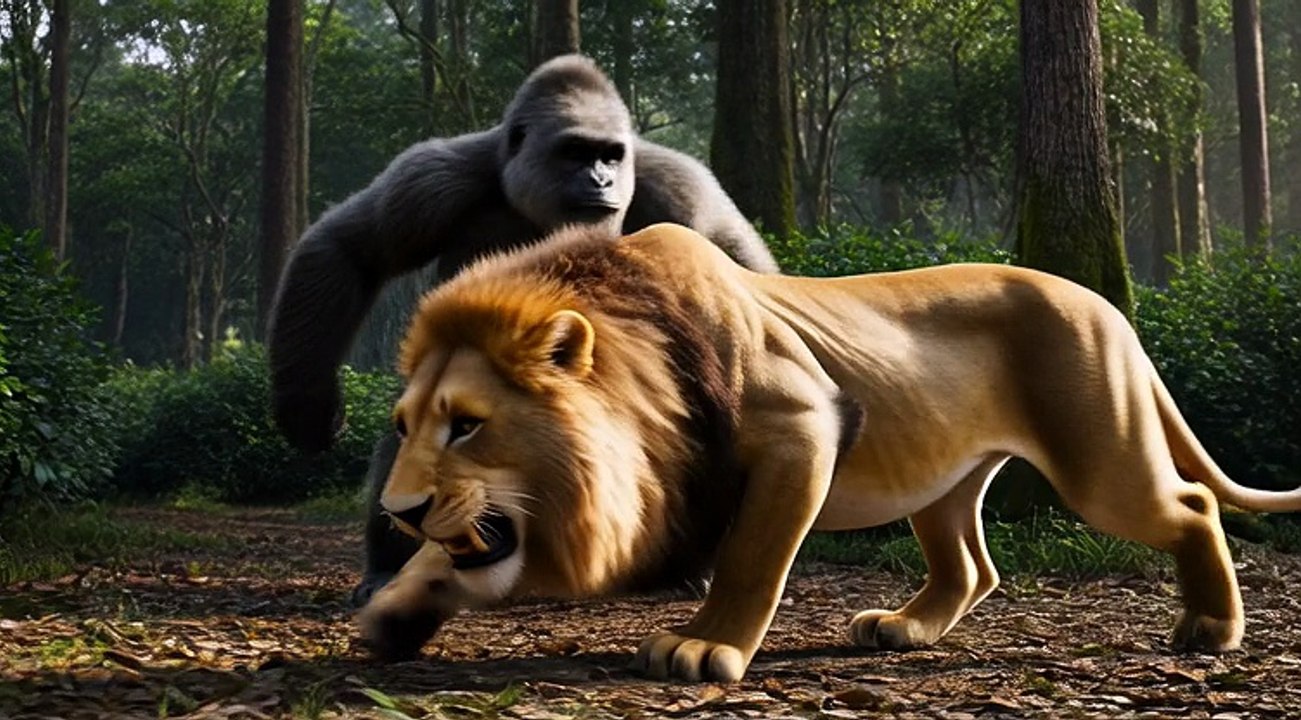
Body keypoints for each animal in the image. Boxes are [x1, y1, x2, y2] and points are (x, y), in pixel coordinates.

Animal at [266, 55, 779, 607]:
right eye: (574, 153)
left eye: (610, 156)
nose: (601, 181)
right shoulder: (430, 178)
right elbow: (349, 249)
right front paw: (307, 404)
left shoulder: (681, 187)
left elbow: (739, 272)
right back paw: (390, 566)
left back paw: (682, 570)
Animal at [357, 222, 1301, 682]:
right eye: (404, 425)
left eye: (467, 424)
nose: (399, 510)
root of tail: (1107, 305)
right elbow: (452, 563)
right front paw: (394, 611)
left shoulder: (801, 427)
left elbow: (749, 560)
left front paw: (701, 650)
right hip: (942, 481)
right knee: (972, 567)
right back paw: (900, 630)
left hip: (1099, 457)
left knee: (1191, 506)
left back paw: (1209, 629)